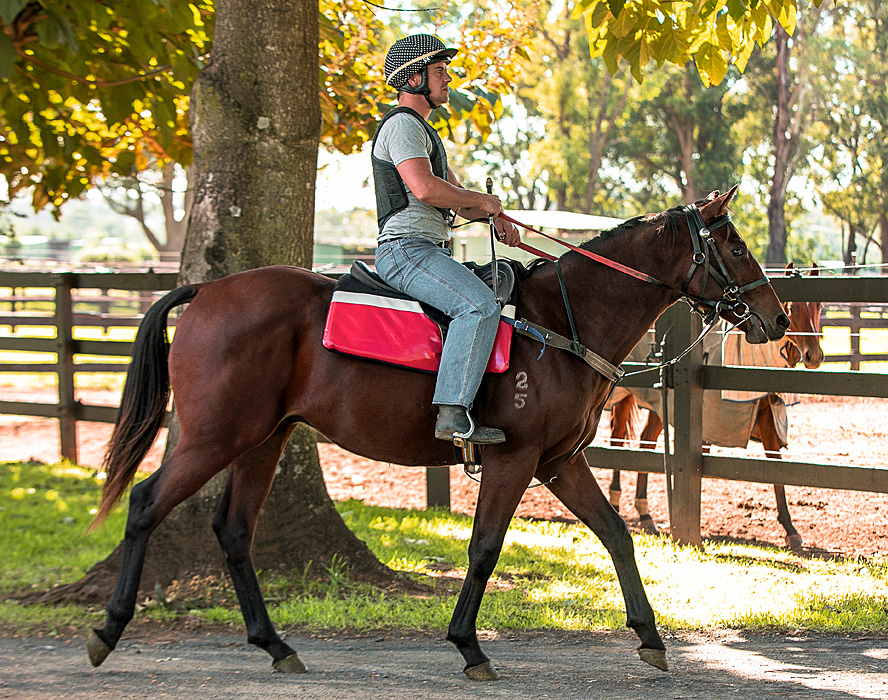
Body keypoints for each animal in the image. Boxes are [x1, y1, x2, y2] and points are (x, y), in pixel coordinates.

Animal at [85, 186, 789, 680]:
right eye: (735, 246)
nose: (777, 318)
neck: (563, 321)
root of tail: (205, 292)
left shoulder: (560, 462)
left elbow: (616, 533)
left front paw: (650, 636)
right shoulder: (515, 461)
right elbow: (484, 548)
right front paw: (469, 646)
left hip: (265, 440)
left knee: (233, 530)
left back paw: (274, 644)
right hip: (214, 438)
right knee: (145, 503)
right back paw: (108, 630)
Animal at [606, 264, 823, 548]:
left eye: (819, 306)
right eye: (793, 308)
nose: (814, 356)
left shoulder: (766, 414)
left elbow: (775, 463)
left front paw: (789, 528)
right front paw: (789, 529)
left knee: (646, 440)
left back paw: (645, 514)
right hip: (627, 397)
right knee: (618, 439)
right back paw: (616, 500)